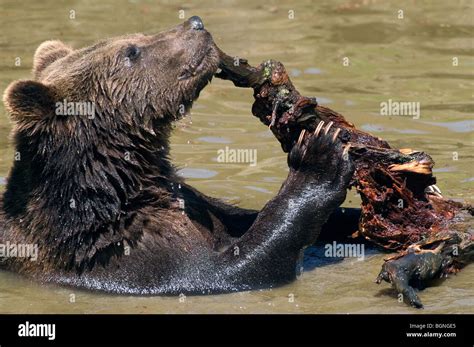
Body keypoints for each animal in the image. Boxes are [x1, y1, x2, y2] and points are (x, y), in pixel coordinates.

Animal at [0, 17, 354, 296]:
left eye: (137, 37)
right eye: (131, 51)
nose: (196, 23)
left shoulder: (193, 204)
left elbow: (240, 219)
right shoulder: (122, 252)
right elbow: (228, 270)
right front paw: (320, 155)